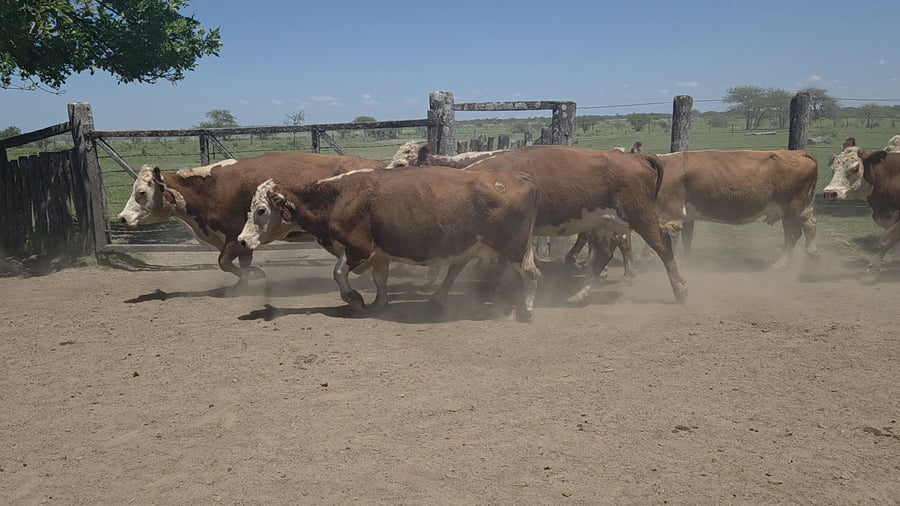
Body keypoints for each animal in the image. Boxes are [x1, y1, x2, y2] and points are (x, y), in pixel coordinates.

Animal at [116, 152, 385, 281]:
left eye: (141, 192)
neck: (212, 188)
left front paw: (255, 275)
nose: (122, 217)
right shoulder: (243, 240)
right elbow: (240, 263)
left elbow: (224, 262)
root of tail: (377, 165)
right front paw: (245, 281)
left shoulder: (234, 236)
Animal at [239, 166, 542, 321]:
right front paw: (379, 302)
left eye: (262, 210)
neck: (337, 198)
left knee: (530, 273)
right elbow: (380, 279)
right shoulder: (379, 254)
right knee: (459, 269)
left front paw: (354, 299)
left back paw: (526, 309)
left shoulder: (358, 248)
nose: (242, 240)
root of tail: (518, 177)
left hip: (513, 245)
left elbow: (338, 273)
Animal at [462, 145, 688, 304]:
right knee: (604, 254)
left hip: (641, 217)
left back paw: (680, 290)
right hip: (603, 223)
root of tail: (636, 157)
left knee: (663, 245)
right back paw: (579, 294)